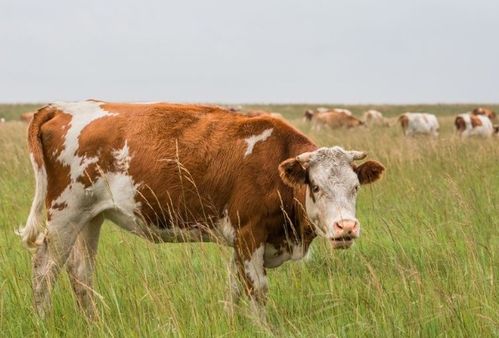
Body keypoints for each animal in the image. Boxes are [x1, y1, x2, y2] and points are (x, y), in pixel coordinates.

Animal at [18, 100, 386, 316]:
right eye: (316, 186)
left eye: (355, 187)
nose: (346, 227)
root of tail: (62, 107)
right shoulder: (249, 234)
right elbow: (256, 292)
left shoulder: (241, 243)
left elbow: (234, 290)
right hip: (65, 214)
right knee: (44, 270)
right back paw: (43, 321)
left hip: (90, 218)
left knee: (81, 274)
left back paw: (92, 323)